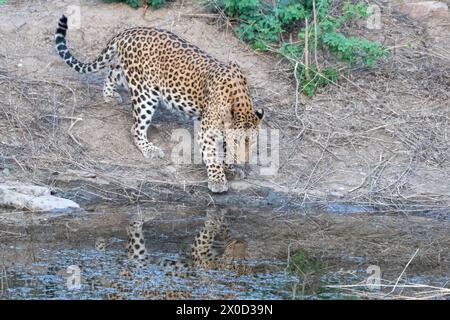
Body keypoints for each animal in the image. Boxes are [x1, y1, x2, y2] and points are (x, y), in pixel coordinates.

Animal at [55, 15, 264, 192]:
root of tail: (129, 31)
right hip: (145, 93)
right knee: (135, 128)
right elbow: (212, 154)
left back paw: (109, 95)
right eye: (238, 141)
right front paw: (218, 180)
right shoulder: (207, 129)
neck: (240, 102)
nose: (244, 160)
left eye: (252, 142)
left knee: (113, 71)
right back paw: (150, 149)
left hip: (131, 78)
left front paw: (231, 168)